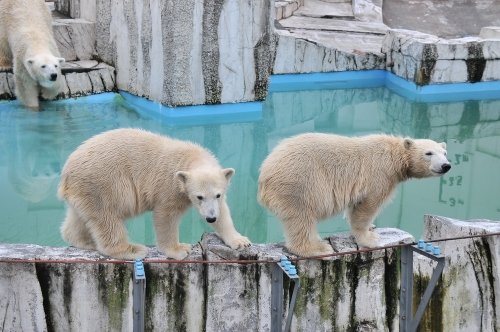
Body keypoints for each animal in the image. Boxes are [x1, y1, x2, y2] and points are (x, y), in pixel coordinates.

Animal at [58, 128, 252, 260]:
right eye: (199, 197)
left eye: (217, 195)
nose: (210, 218)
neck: (190, 157)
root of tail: (66, 172)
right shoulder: (169, 185)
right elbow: (166, 215)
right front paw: (179, 249)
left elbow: (224, 212)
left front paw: (240, 241)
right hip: (103, 183)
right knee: (107, 217)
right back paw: (132, 249)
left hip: (84, 191)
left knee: (80, 217)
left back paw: (85, 241)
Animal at [256, 133, 452, 256]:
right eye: (428, 153)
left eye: (444, 153)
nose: (446, 166)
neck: (394, 155)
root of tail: (264, 172)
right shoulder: (379, 174)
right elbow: (367, 205)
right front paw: (370, 238)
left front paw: (372, 227)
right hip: (299, 183)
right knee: (301, 217)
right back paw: (317, 248)